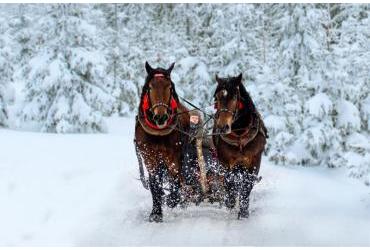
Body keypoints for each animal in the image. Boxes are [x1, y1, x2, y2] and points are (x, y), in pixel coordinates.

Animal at [134, 61, 189, 222]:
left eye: (169, 87)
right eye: (150, 87)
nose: (161, 117)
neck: (158, 134)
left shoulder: (174, 157)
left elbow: (175, 181)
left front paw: (172, 200)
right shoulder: (149, 157)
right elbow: (154, 183)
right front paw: (156, 213)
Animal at [212, 73, 268, 219]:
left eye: (234, 97)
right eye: (216, 98)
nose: (222, 127)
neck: (240, 136)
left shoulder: (254, 161)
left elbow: (247, 185)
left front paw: (243, 212)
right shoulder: (226, 163)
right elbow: (230, 184)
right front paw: (231, 206)